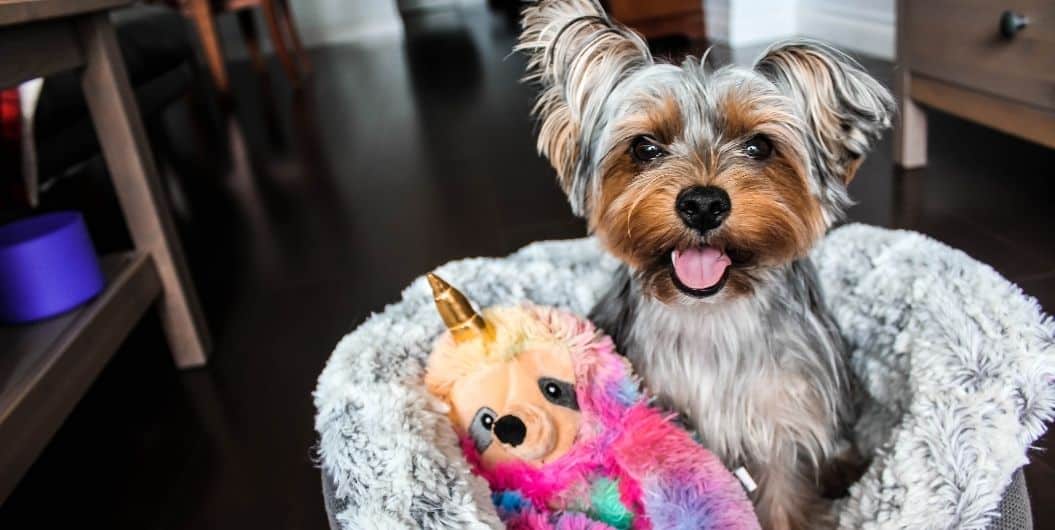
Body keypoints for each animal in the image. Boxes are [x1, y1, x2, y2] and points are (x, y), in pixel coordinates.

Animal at [516, 2, 890, 527]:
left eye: (759, 146)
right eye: (645, 148)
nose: (703, 204)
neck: (712, 311)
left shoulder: (784, 420)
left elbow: (783, 497)